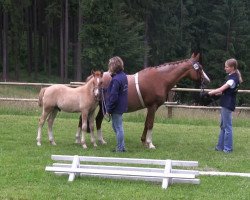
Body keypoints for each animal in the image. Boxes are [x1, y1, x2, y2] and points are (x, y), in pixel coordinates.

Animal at [78, 53, 211, 148]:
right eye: (200, 68)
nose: (207, 80)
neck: (160, 78)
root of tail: (92, 78)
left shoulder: (151, 107)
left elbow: (146, 123)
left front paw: (144, 141)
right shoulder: (153, 106)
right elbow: (150, 124)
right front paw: (150, 143)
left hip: (103, 106)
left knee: (96, 120)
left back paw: (99, 140)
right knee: (90, 120)